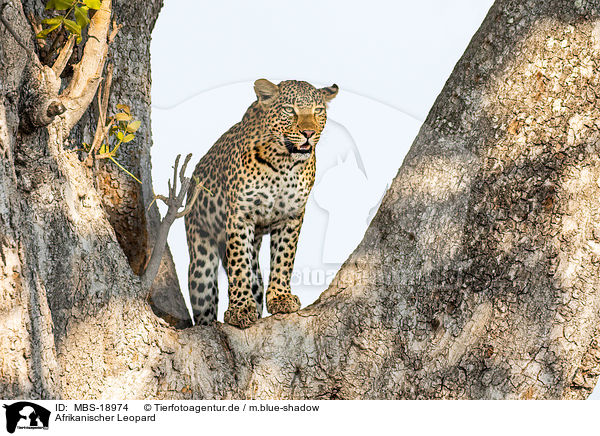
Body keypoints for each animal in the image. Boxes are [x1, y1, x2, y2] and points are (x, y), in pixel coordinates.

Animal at [184, 79, 338, 328]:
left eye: (318, 111)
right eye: (289, 110)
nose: (309, 132)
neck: (284, 163)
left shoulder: (291, 216)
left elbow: (284, 258)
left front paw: (280, 298)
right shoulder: (240, 215)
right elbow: (239, 265)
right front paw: (239, 309)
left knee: (255, 280)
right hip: (200, 256)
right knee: (205, 295)